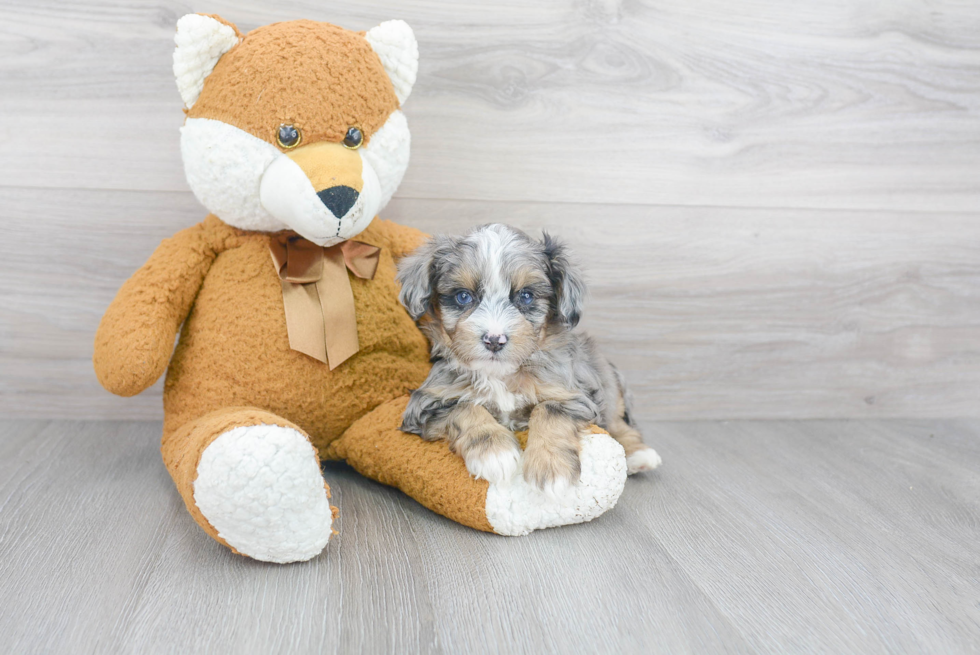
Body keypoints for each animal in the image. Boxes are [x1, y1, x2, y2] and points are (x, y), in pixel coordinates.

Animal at [396, 226, 660, 492]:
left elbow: (549, 410)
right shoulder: (427, 402)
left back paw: (639, 455)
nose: (494, 340)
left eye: (525, 296)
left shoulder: (573, 396)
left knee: (619, 424)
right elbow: (465, 407)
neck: (500, 374)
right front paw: (495, 453)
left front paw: (552, 467)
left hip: (610, 390)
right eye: (463, 296)